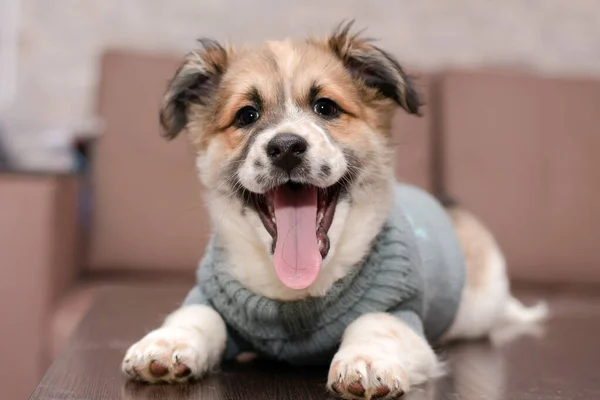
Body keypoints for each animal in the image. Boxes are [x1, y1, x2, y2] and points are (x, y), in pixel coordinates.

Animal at [119, 23, 548, 398]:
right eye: (246, 115)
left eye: (325, 107)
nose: (286, 147)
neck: (295, 293)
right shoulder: (213, 294)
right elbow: (196, 315)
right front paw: (166, 344)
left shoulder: (402, 313)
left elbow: (375, 323)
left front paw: (366, 361)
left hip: (481, 302)